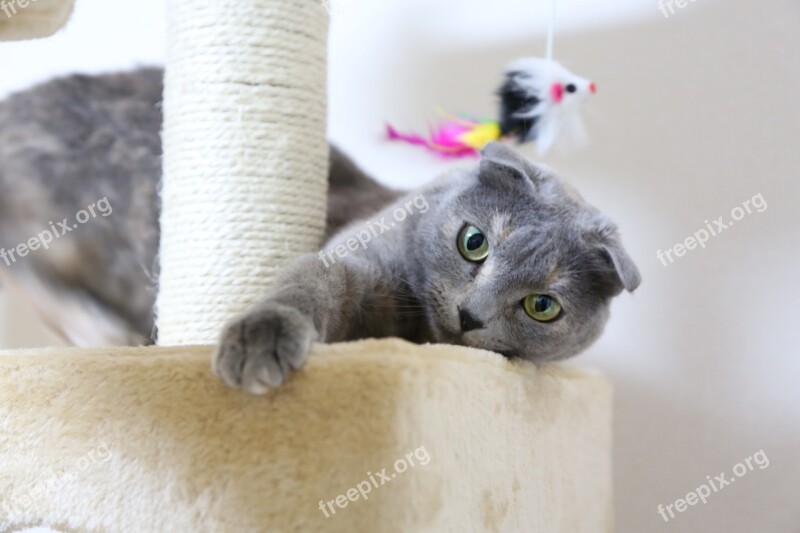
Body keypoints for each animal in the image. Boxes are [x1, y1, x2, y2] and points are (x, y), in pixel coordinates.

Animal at [0, 68, 636, 392]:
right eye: (473, 242)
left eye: (542, 306)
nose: (471, 314)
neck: (411, 332)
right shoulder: (350, 259)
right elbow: (309, 284)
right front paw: (260, 339)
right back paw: (106, 332)